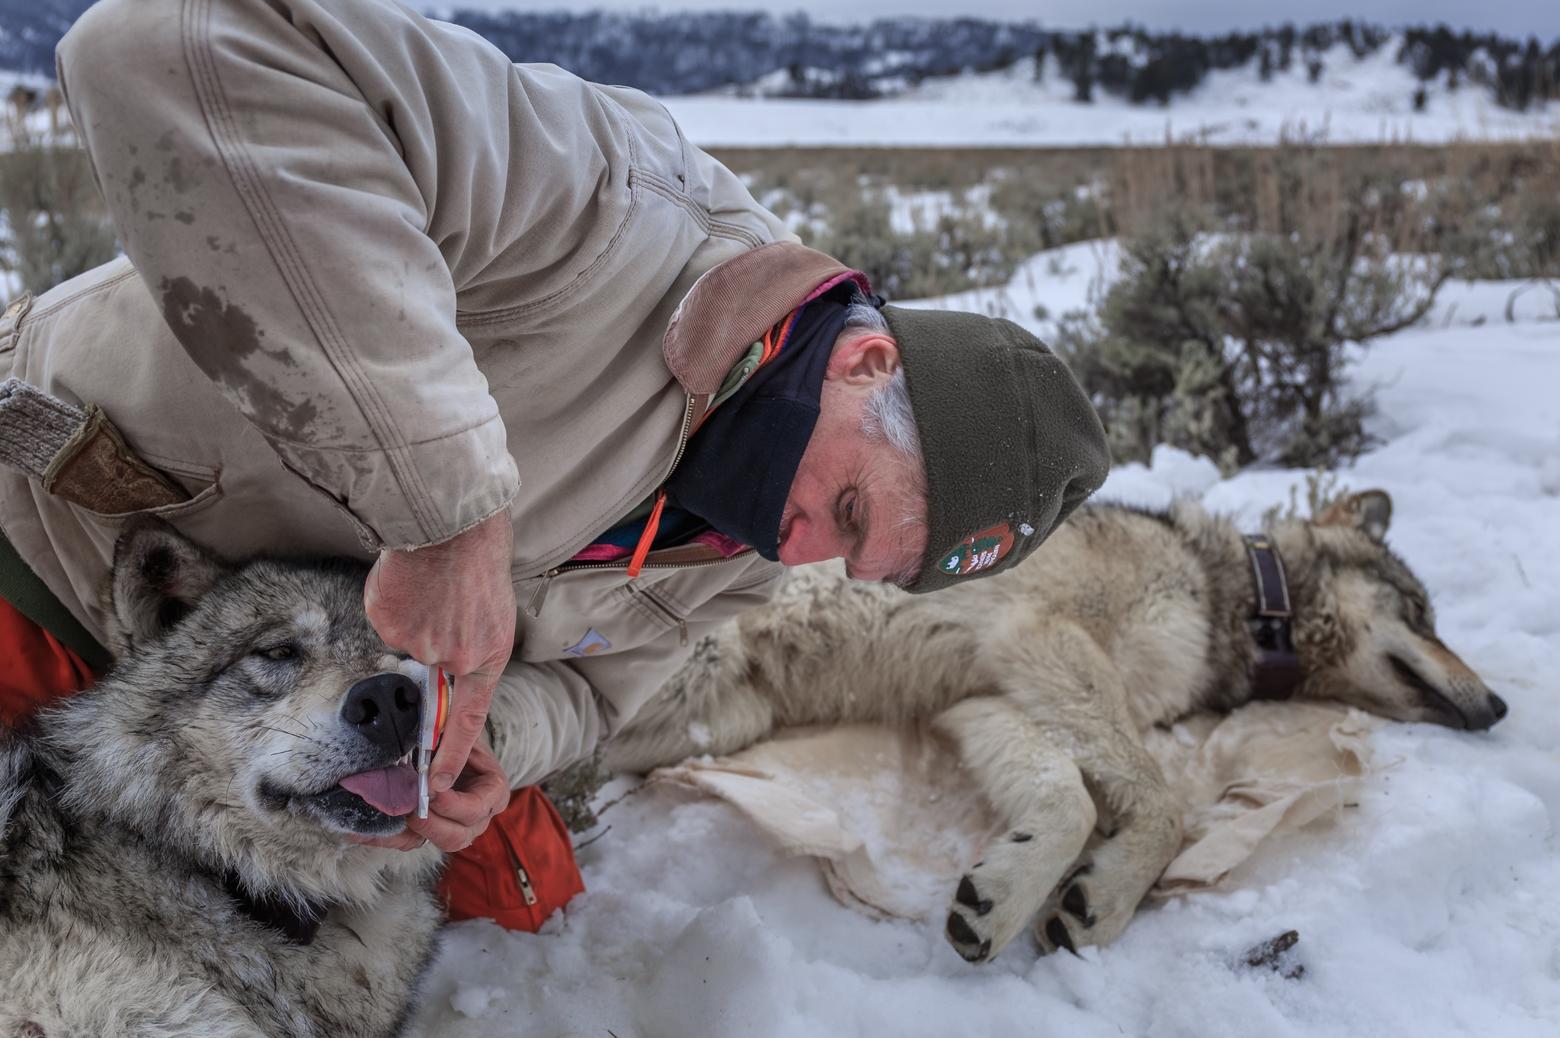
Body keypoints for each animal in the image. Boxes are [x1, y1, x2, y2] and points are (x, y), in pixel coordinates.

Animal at [605, 490, 1510, 961]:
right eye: (1422, 614)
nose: (1501, 707)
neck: (1237, 601)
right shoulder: (1046, 638)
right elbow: (1165, 807)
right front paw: (1104, 900)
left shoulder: (992, 695)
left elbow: (1067, 799)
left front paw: (1009, 894)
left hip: (717, 710)